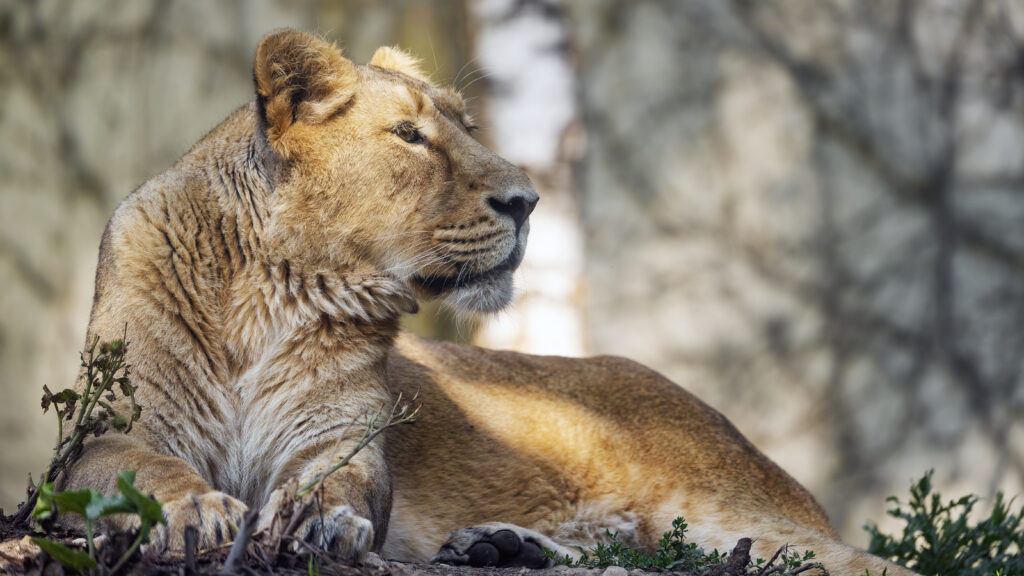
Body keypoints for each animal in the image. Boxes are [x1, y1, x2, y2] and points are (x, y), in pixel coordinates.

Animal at [63, 29, 915, 575]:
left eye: (467, 126)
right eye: (409, 135)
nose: (528, 200)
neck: (277, 292)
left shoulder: (342, 438)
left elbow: (337, 485)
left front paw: (319, 520)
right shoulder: (109, 430)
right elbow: (139, 467)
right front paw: (198, 510)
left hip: (726, 515)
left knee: (865, 565)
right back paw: (502, 547)